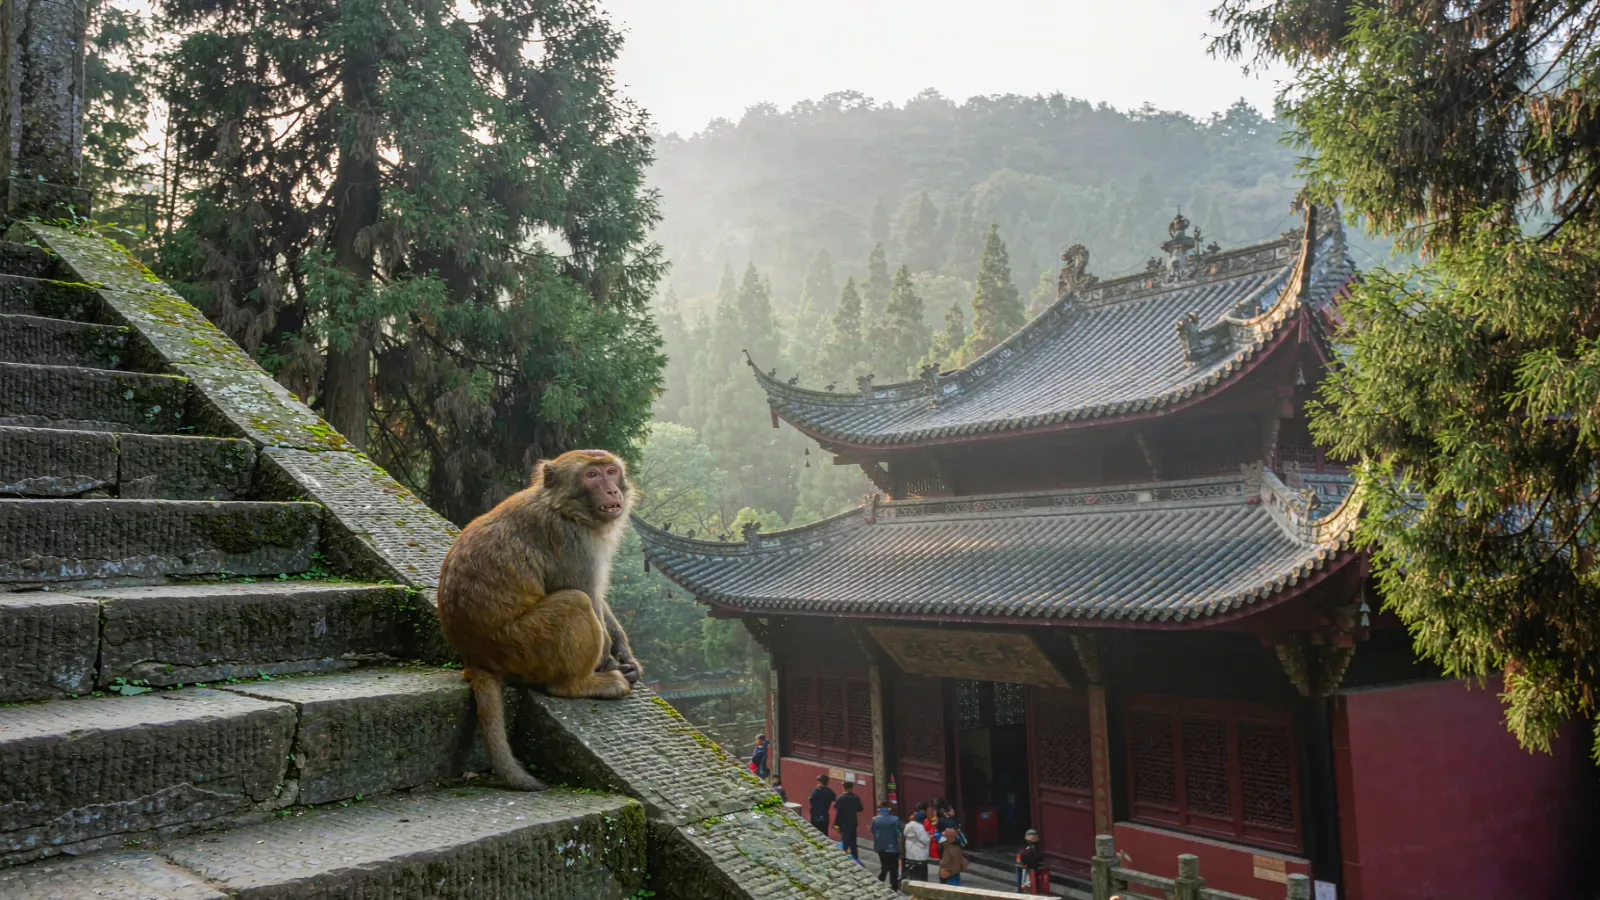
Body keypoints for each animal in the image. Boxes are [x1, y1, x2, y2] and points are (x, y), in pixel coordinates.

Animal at [436, 448, 644, 791]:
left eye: (611, 472)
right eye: (592, 475)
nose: (612, 491)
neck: (565, 508)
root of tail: (474, 658)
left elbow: (600, 598)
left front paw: (625, 655)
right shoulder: (571, 540)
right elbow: (589, 593)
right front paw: (608, 661)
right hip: (522, 645)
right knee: (576, 602)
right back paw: (580, 684)